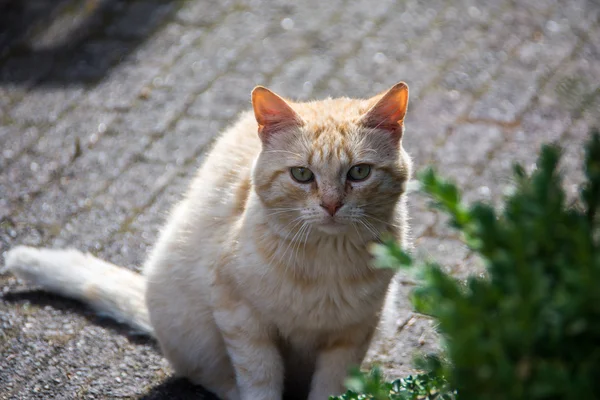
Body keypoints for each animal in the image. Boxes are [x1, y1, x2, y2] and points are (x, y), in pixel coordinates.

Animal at [2, 81, 412, 400]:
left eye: (359, 173)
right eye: (301, 175)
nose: (330, 205)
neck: (327, 261)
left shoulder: (353, 336)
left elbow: (330, 387)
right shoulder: (242, 319)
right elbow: (260, 381)